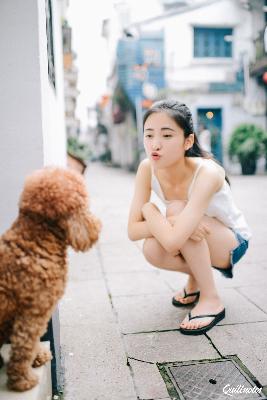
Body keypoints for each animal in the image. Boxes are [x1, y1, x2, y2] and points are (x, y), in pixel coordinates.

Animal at [0, 166, 101, 390]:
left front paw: (38, 357)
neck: (36, 240)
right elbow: (24, 347)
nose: (97, 224)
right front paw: (23, 380)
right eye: (83, 202)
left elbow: (33, 343)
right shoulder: (33, 312)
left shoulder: (20, 315)